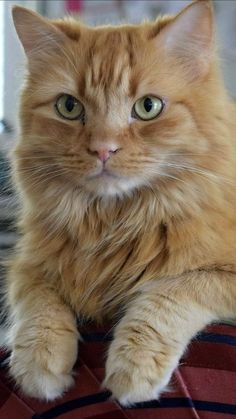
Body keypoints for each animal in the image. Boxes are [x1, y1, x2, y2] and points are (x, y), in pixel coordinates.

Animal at [6, 0, 236, 406]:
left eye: (148, 107)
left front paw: (134, 368)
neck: (114, 221)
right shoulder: (27, 262)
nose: (102, 149)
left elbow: (171, 292)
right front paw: (38, 364)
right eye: (69, 107)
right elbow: (36, 302)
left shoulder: (221, 275)